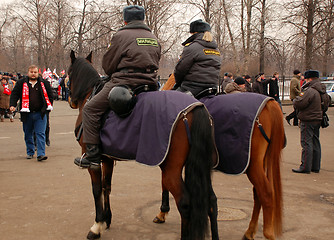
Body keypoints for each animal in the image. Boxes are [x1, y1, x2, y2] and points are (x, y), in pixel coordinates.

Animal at [68, 51, 219, 240]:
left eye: (69, 73)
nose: (71, 101)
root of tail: (195, 107)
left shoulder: (93, 161)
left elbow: (96, 190)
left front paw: (97, 225)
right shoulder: (107, 158)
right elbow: (106, 187)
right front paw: (107, 219)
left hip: (171, 170)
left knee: (185, 204)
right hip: (202, 166)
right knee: (211, 201)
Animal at [155, 74, 286, 239]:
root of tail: (270, 103)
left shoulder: (168, 159)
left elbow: (164, 183)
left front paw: (162, 212)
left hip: (254, 165)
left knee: (266, 194)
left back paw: (267, 233)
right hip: (259, 163)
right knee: (258, 194)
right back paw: (250, 231)